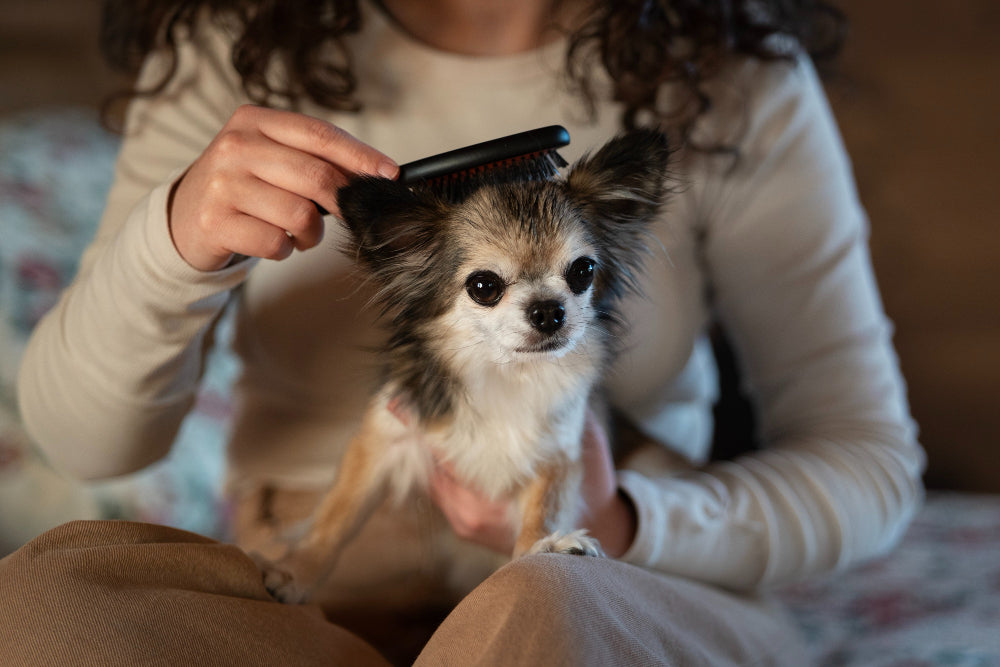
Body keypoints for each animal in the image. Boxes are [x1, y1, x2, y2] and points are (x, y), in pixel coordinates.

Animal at [262, 128, 676, 604]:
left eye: (583, 272)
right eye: (484, 286)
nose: (548, 311)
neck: (503, 372)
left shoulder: (558, 454)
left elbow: (545, 506)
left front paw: (542, 547)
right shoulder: (386, 440)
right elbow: (338, 513)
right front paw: (296, 570)